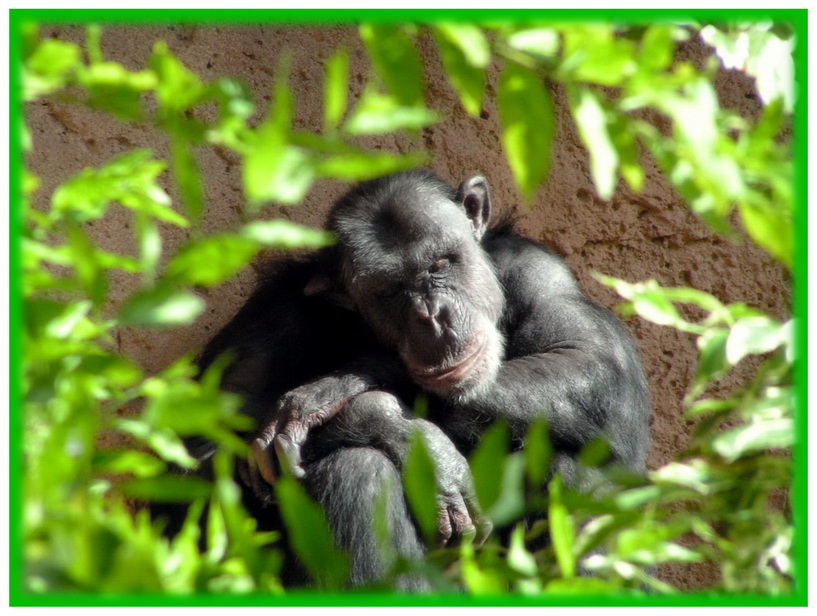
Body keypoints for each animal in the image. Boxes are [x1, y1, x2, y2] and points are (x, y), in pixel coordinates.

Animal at [186, 171, 652, 588]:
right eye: (389, 290)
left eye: (440, 263)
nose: (432, 317)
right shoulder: (272, 314)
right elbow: (202, 454)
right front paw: (402, 431)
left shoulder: (537, 269)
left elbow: (591, 359)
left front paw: (344, 388)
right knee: (358, 471)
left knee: (579, 475)